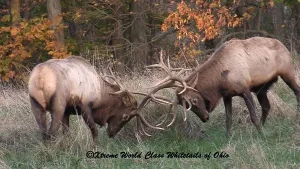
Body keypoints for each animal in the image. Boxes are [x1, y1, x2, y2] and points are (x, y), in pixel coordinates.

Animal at [28, 55, 170, 141]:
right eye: (126, 116)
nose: (111, 133)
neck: (100, 95)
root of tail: (41, 78)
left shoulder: (67, 112)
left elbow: (66, 132)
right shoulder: (85, 106)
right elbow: (95, 131)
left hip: (36, 105)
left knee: (44, 133)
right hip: (58, 105)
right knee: (51, 133)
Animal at [145, 37, 300, 137]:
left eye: (193, 101)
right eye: (186, 106)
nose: (205, 118)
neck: (220, 81)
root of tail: (284, 45)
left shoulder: (245, 89)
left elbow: (252, 116)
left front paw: (262, 136)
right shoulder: (227, 95)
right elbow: (228, 119)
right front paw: (228, 138)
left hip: (288, 72)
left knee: (296, 91)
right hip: (261, 87)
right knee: (266, 106)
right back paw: (264, 125)